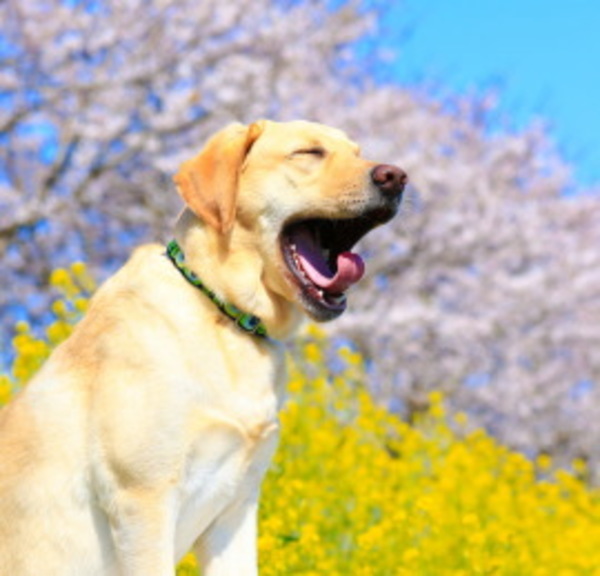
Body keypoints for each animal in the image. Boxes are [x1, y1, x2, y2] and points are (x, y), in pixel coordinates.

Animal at [0, 119, 406, 572]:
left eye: (358, 153)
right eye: (308, 153)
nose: (396, 177)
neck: (226, 314)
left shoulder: (235, 510)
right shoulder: (143, 498)